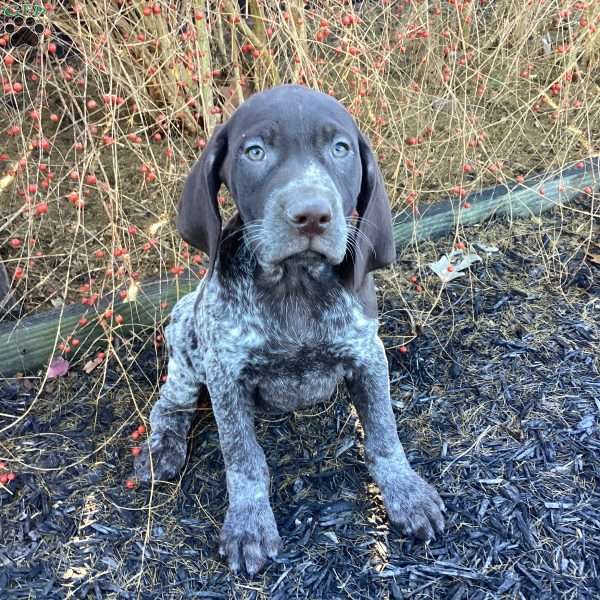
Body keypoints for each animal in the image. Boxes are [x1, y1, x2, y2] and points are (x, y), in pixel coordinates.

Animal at [136, 83, 446, 572]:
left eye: (340, 149)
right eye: (255, 152)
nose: (312, 215)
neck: (295, 283)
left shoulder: (367, 353)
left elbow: (383, 433)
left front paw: (406, 492)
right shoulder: (225, 375)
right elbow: (242, 457)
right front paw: (248, 523)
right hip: (186, 333)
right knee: (170, 404)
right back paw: (160, 447)